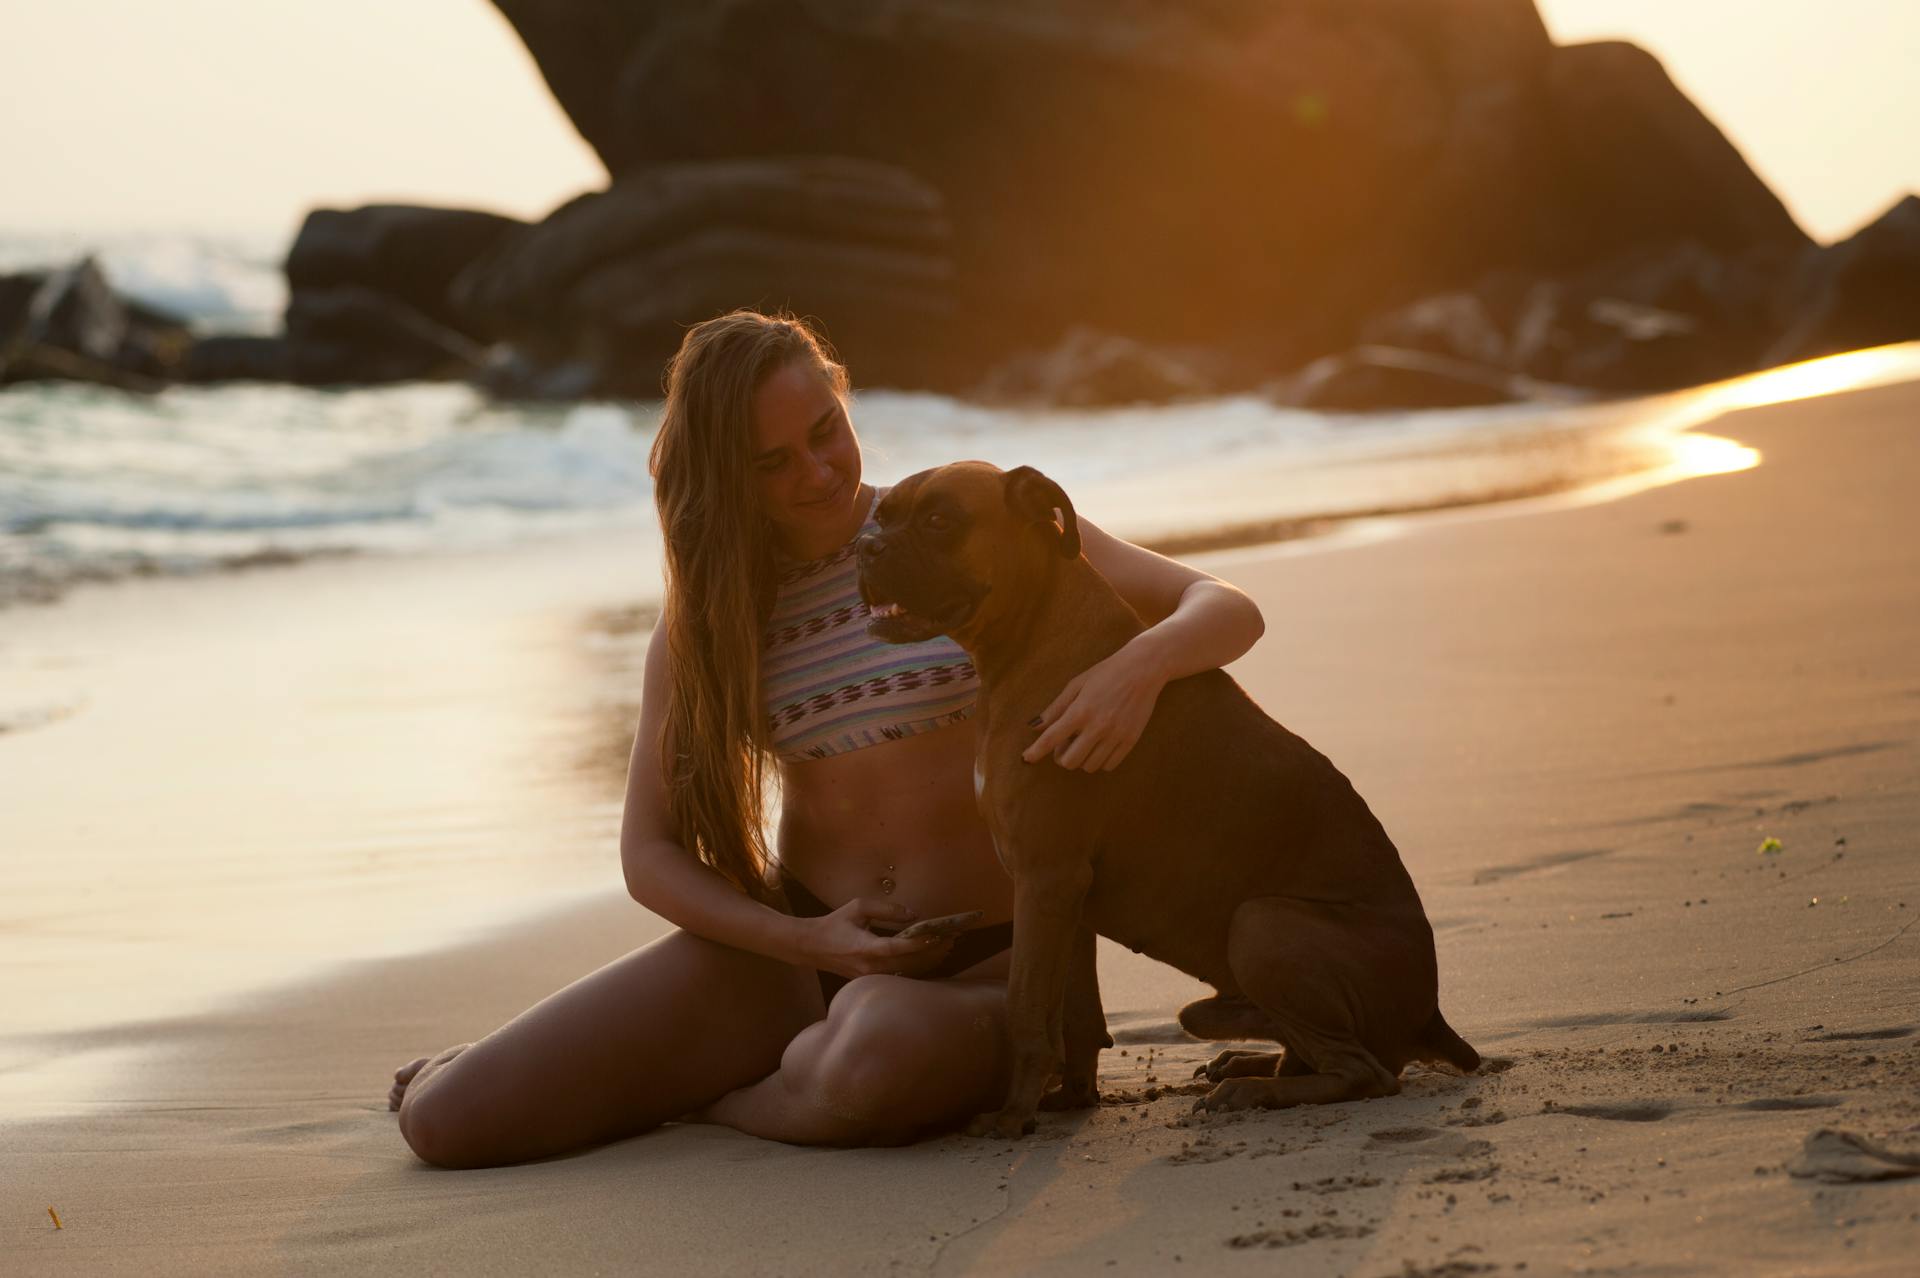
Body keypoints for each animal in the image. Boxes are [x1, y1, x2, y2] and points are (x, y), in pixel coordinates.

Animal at [860, 458, 1482, 1136]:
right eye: (882, 515)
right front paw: (1071, 1096)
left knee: (1363, 1072)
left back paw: (1252, 1090)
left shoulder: (1045, 879)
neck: (1035, 637)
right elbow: (1072, 1011)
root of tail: (1431, 1012)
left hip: (1263, 924)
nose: (865, 547)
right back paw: (1247, 1060)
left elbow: (1026, 1006)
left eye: (938, 520)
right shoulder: (1063, 896)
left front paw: (1012, 1116)